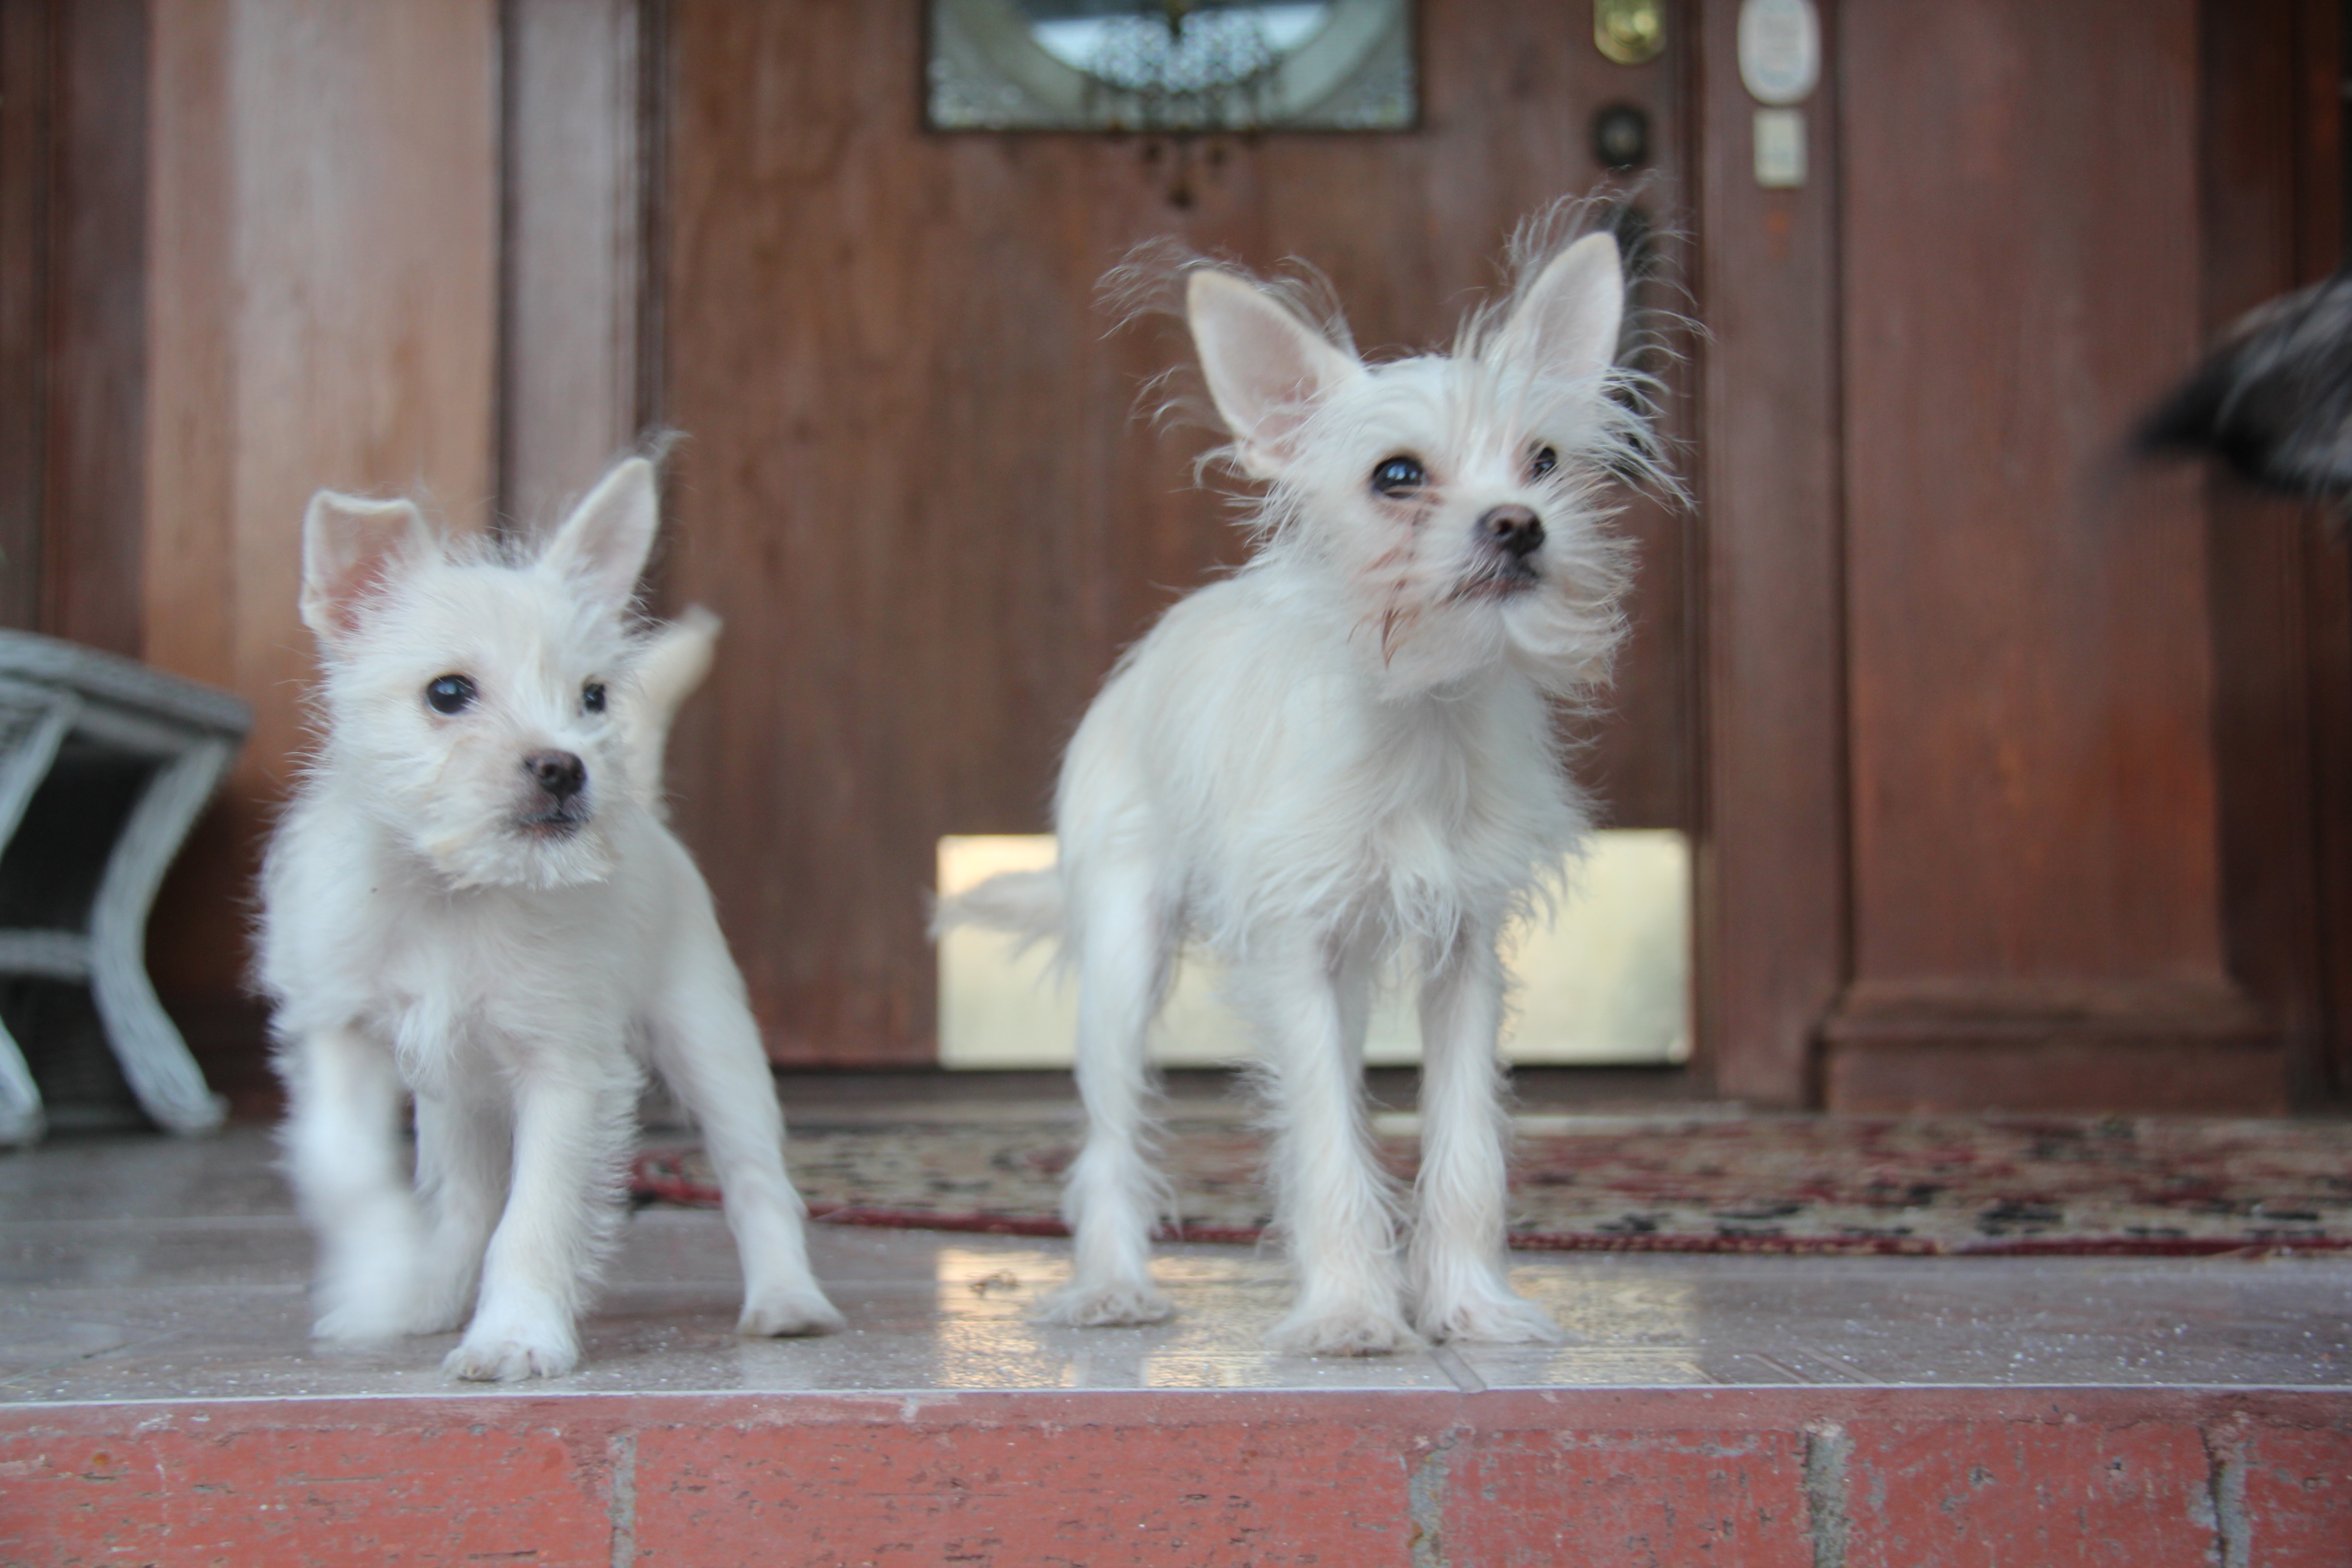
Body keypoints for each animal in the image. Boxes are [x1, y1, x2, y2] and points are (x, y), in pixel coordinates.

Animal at [257, 461, 842, 1382]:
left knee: (754, 1178)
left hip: (712, 1044)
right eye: (448, 693)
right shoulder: (339, 1033)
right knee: (463, 1201)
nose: (567, 767)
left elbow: (535, 1215)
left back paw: (786, 1301)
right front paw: (383, 1276)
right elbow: (342, 1165)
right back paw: (426, 1297)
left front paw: (515, 1334)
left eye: (593, 697)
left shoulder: (566, 1071)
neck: (456, 892)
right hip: (456, 1102)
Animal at [936, 223, 1656, 1363]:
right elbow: (1323, 1139)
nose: (1520, 524)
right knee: (1110, 1139)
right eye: (1396, 475)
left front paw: (1466, 1305)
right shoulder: (1291, 952)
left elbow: (1463, 1147)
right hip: (1125, 954)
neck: (1421, 712)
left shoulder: (1461, 955)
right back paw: (1111, 1284)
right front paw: (1353, 1311)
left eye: (1543, 462)